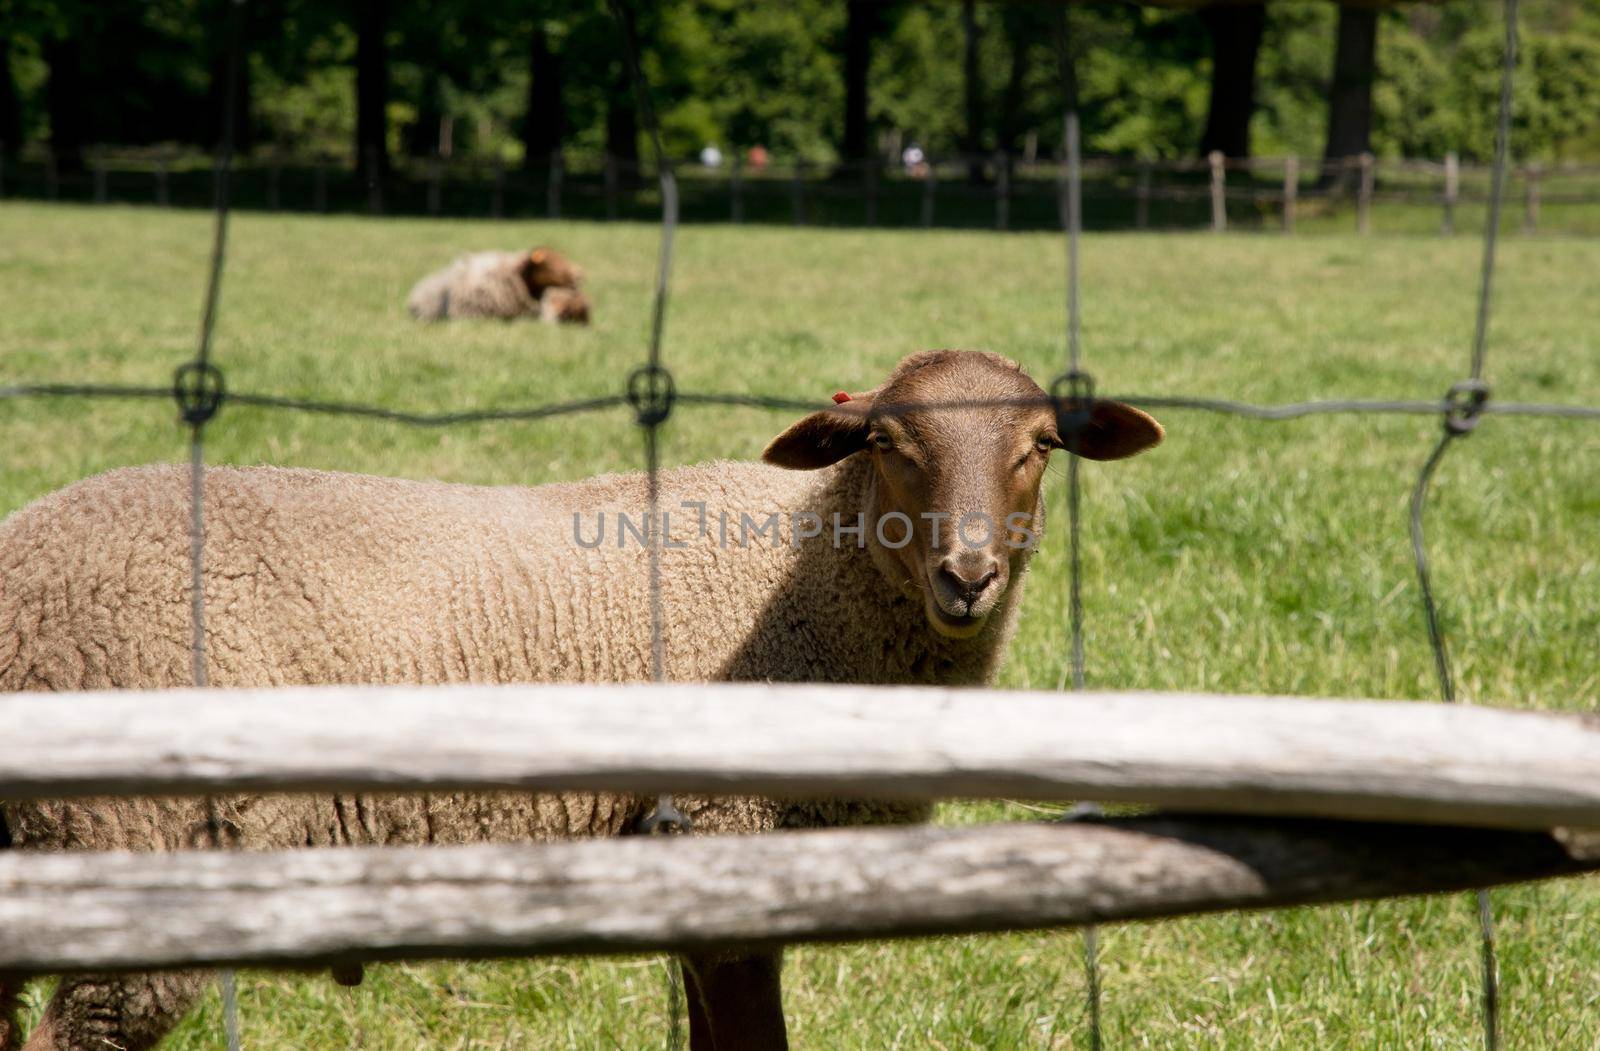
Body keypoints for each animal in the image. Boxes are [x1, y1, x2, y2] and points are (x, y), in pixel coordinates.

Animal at [0, 350, 1164, 1049]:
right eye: (886, 442)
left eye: (1040, 446)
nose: (967, 575)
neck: (810, 577)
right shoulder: (728, 837)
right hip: (136, 846)